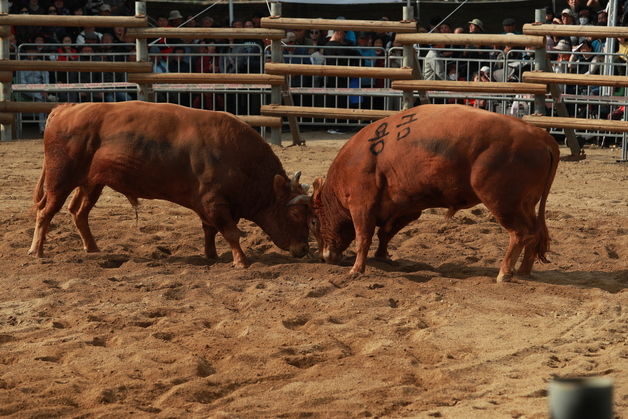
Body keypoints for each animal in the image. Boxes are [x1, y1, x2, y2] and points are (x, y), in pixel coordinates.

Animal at [29, 100, 310, 268]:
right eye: (296, 214)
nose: (304, 249)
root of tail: (66, 109)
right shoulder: (214, 202)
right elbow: (230, 232)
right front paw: (241, 261)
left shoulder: (212, 205)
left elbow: (210, 230)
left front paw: (211, 255)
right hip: (59, 180)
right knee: (46, 212)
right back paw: (37, 251)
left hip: (91, 183)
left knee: (79, 212)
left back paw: (92, 247)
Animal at [310, 104, 560, 282]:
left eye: (314, 222)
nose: (324, 257)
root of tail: (541, 136)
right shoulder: (407, 207)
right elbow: (386, 233)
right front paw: (382, 256)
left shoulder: (361, 205)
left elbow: (364, 237)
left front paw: (356, 270)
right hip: (525, 204)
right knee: (535, 232)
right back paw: (524, 270)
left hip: (503, 202)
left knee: (520, 233)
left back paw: (505, 272)